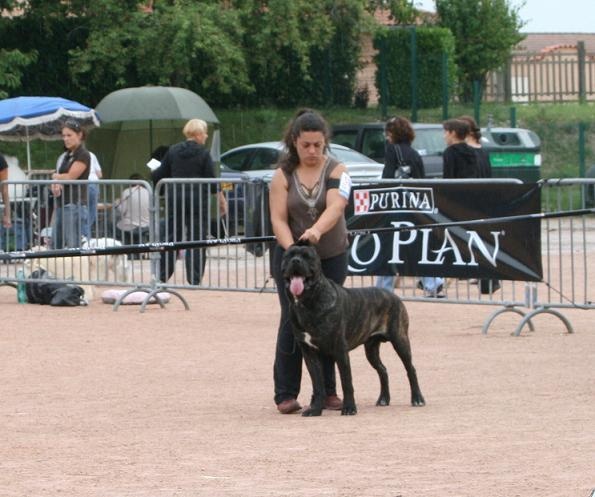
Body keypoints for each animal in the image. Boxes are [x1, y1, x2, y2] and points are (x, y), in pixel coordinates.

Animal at [281, 242, 425, 416]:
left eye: (307, 256)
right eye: (289, 256)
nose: (295, 261)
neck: (307, 302)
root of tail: (393, 295)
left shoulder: (340, 350)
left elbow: (346, 381)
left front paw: (349, 408)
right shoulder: (309, 353)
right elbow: (318, 384)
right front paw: (315, 409)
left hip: (400, 339)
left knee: (411, 369)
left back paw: (417, 399)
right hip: (371, 349)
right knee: (382, 370)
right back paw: (383, 399)